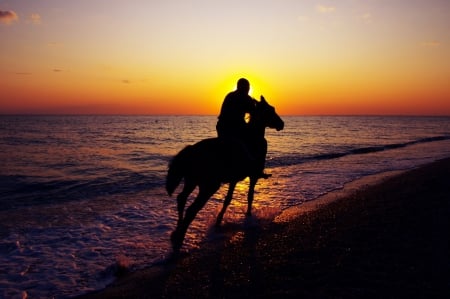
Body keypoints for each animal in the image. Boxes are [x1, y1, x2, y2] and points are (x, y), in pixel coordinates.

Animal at [165, 96, 284, 251]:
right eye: (271, 110)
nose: (281, 124)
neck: (252, 138)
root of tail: (191, 151)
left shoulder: (234, 179)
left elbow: (228, 199)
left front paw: (219, 220)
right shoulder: (253, 176)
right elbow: (250, 196)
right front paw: (248, 215)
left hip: (191, 181)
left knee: (181, 199)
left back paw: (176, 233)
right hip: (208, 186)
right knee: (192, 210)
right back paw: (179, 239)